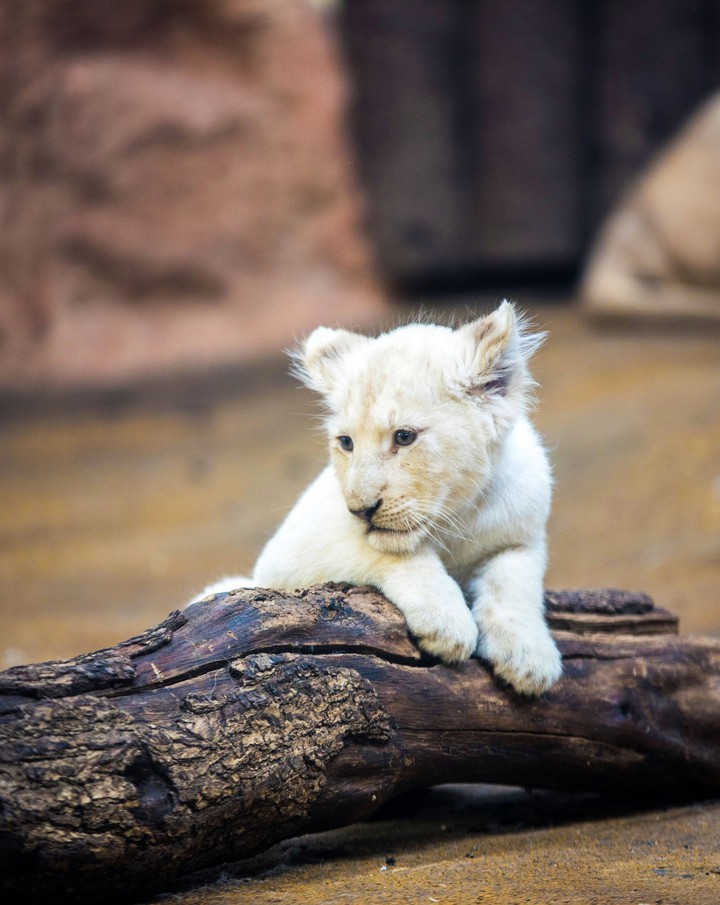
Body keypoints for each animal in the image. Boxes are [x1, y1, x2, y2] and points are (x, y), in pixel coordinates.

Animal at [199, 301, 562, 695]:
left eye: (404, 437)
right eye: (346, 442)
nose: (361, 510)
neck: (455, 518)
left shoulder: (524, 536)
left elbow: (515, 581)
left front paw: (529, 659)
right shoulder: (287, 556)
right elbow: (388, 552)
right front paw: (446, 621)